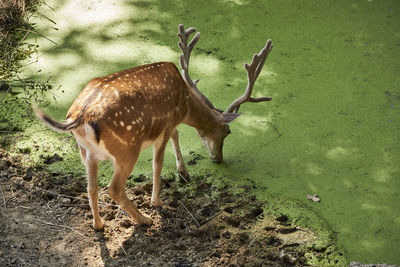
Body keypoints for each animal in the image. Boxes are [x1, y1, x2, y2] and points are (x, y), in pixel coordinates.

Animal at [34, 25, 274, 230]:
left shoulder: (169, 124)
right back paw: (144, 219)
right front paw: (156, 200)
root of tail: (80, 116)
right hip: (127, 148)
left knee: (91, 187)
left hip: (86, 152)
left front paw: (184, 173)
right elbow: (158, 164)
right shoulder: (165, 125)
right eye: (227, 132)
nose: (218, 159)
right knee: (114, 188)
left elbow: (176, 135)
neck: (185, 104)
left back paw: (98, 224)